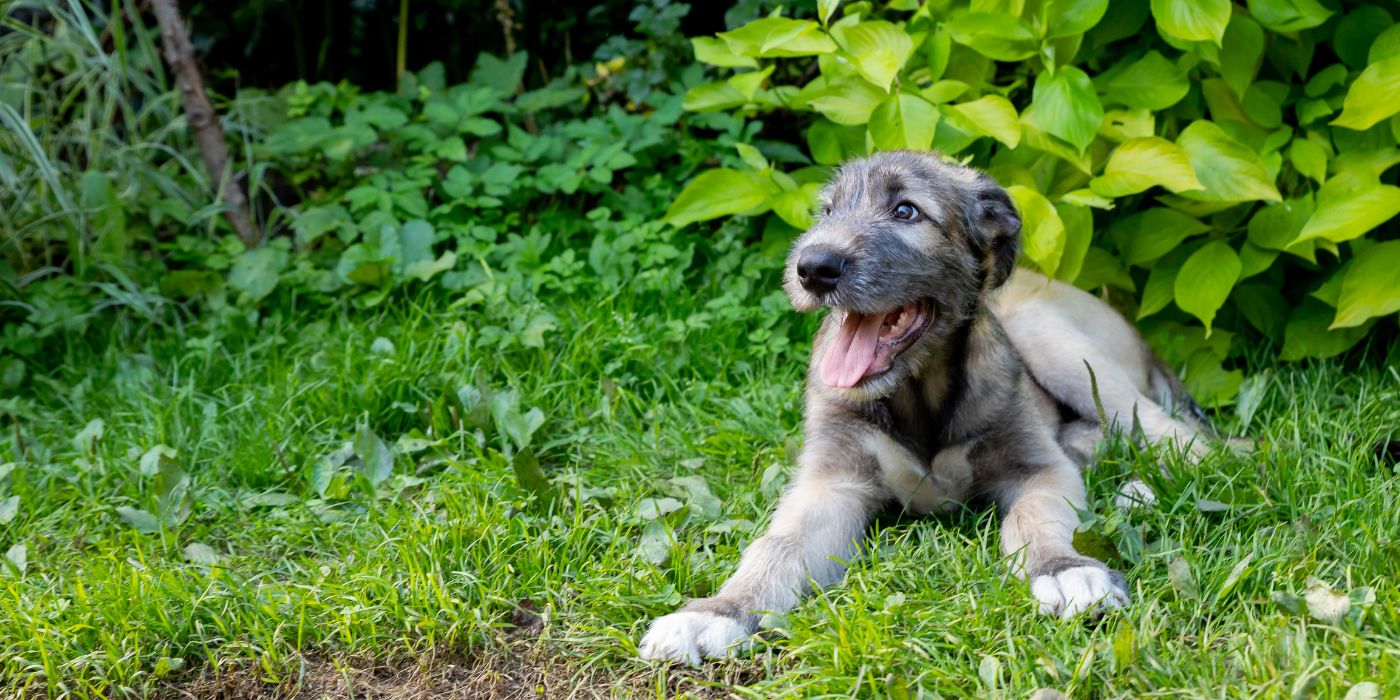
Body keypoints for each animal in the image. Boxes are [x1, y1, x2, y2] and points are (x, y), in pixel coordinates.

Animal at [641, 150, 1209, 663]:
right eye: (827, 211)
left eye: (906, 211)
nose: (812, 268)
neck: (917, 392)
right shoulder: (833, 481)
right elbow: (776, 544)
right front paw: (717, 611)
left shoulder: (1037, 467)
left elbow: (1033, 517)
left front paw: (1063, 570)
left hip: (1056, 341)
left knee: (1193, 437)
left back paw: (1140, 489)